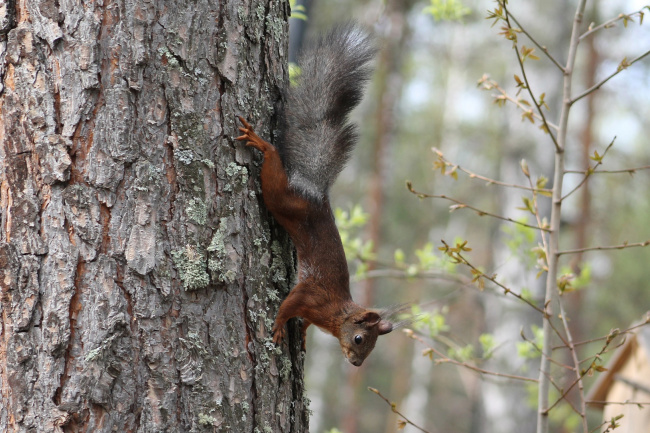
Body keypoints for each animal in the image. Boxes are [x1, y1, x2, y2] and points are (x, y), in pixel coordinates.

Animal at [235, 22, 392, 364]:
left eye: (373, 347)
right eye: (360, 338)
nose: (356, 363)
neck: (336, 314)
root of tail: (315, 193)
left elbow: (304, 322)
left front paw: (303, 335)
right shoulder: (310, 295)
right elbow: (289, 305)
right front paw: (279, 327)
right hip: (282, 199)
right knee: (273, 170)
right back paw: (261, 143)